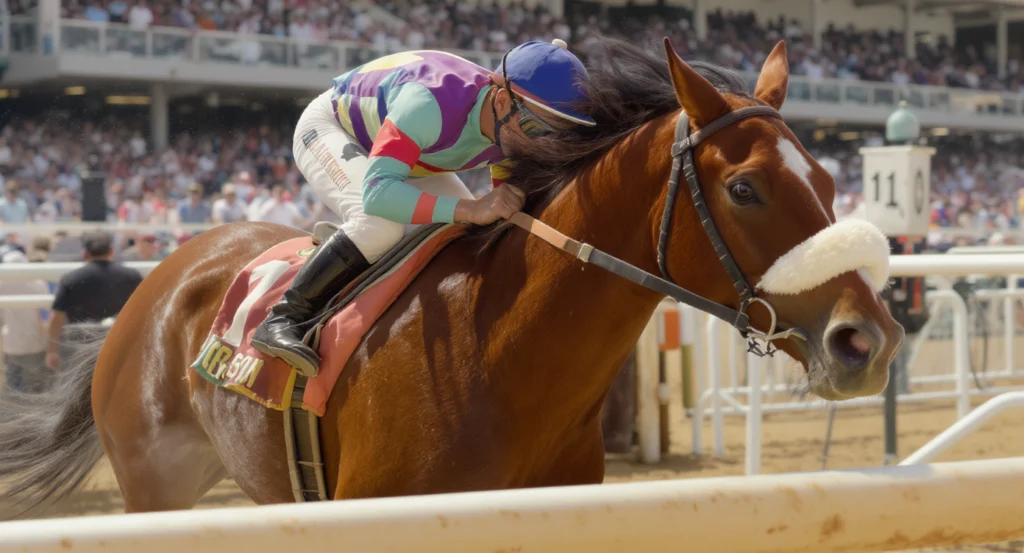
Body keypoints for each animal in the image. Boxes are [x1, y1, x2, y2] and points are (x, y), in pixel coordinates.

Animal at [0, 37, 903, 515]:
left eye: (829, 178)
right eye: (745, 188)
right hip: (154, 483)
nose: (869, 339)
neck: (496, 353)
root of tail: (158, 281)